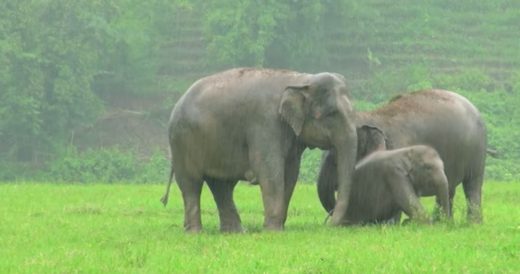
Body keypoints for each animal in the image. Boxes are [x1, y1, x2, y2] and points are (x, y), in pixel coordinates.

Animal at [161, 67, 358, 232]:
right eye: (331, 114)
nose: (329, 224)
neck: (300, 79)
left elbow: (291, 173)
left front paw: (279, 227)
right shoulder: (265, 123)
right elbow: (269, 170)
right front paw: (273, 231)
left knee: (221, 185)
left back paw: (234, 232)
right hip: (182, 141)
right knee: (191, 184)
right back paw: (195, 232)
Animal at [316, 89, 488, 224]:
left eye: (335, 162)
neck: (372, 116)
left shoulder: (397, 148)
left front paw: (393, 224)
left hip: (477, 151)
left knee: (472, 184)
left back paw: (472, 224)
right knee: (449, 188)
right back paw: (446, 222)